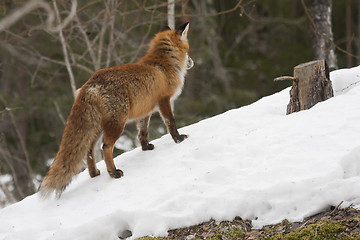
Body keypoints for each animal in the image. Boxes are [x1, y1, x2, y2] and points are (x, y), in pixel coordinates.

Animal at [39, 22, 194, 198]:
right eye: (188, 50)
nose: (191, 62)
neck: (163, 63)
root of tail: (90, 83)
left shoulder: (145, 111)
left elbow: (142, 132)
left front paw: (146, 148)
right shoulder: (164, 101)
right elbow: (170, 122)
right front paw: (179, 139)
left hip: (98, 127)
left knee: (89, 151)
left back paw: (94, 174)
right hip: (117, 124)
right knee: (106, 148)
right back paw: (113, 173)